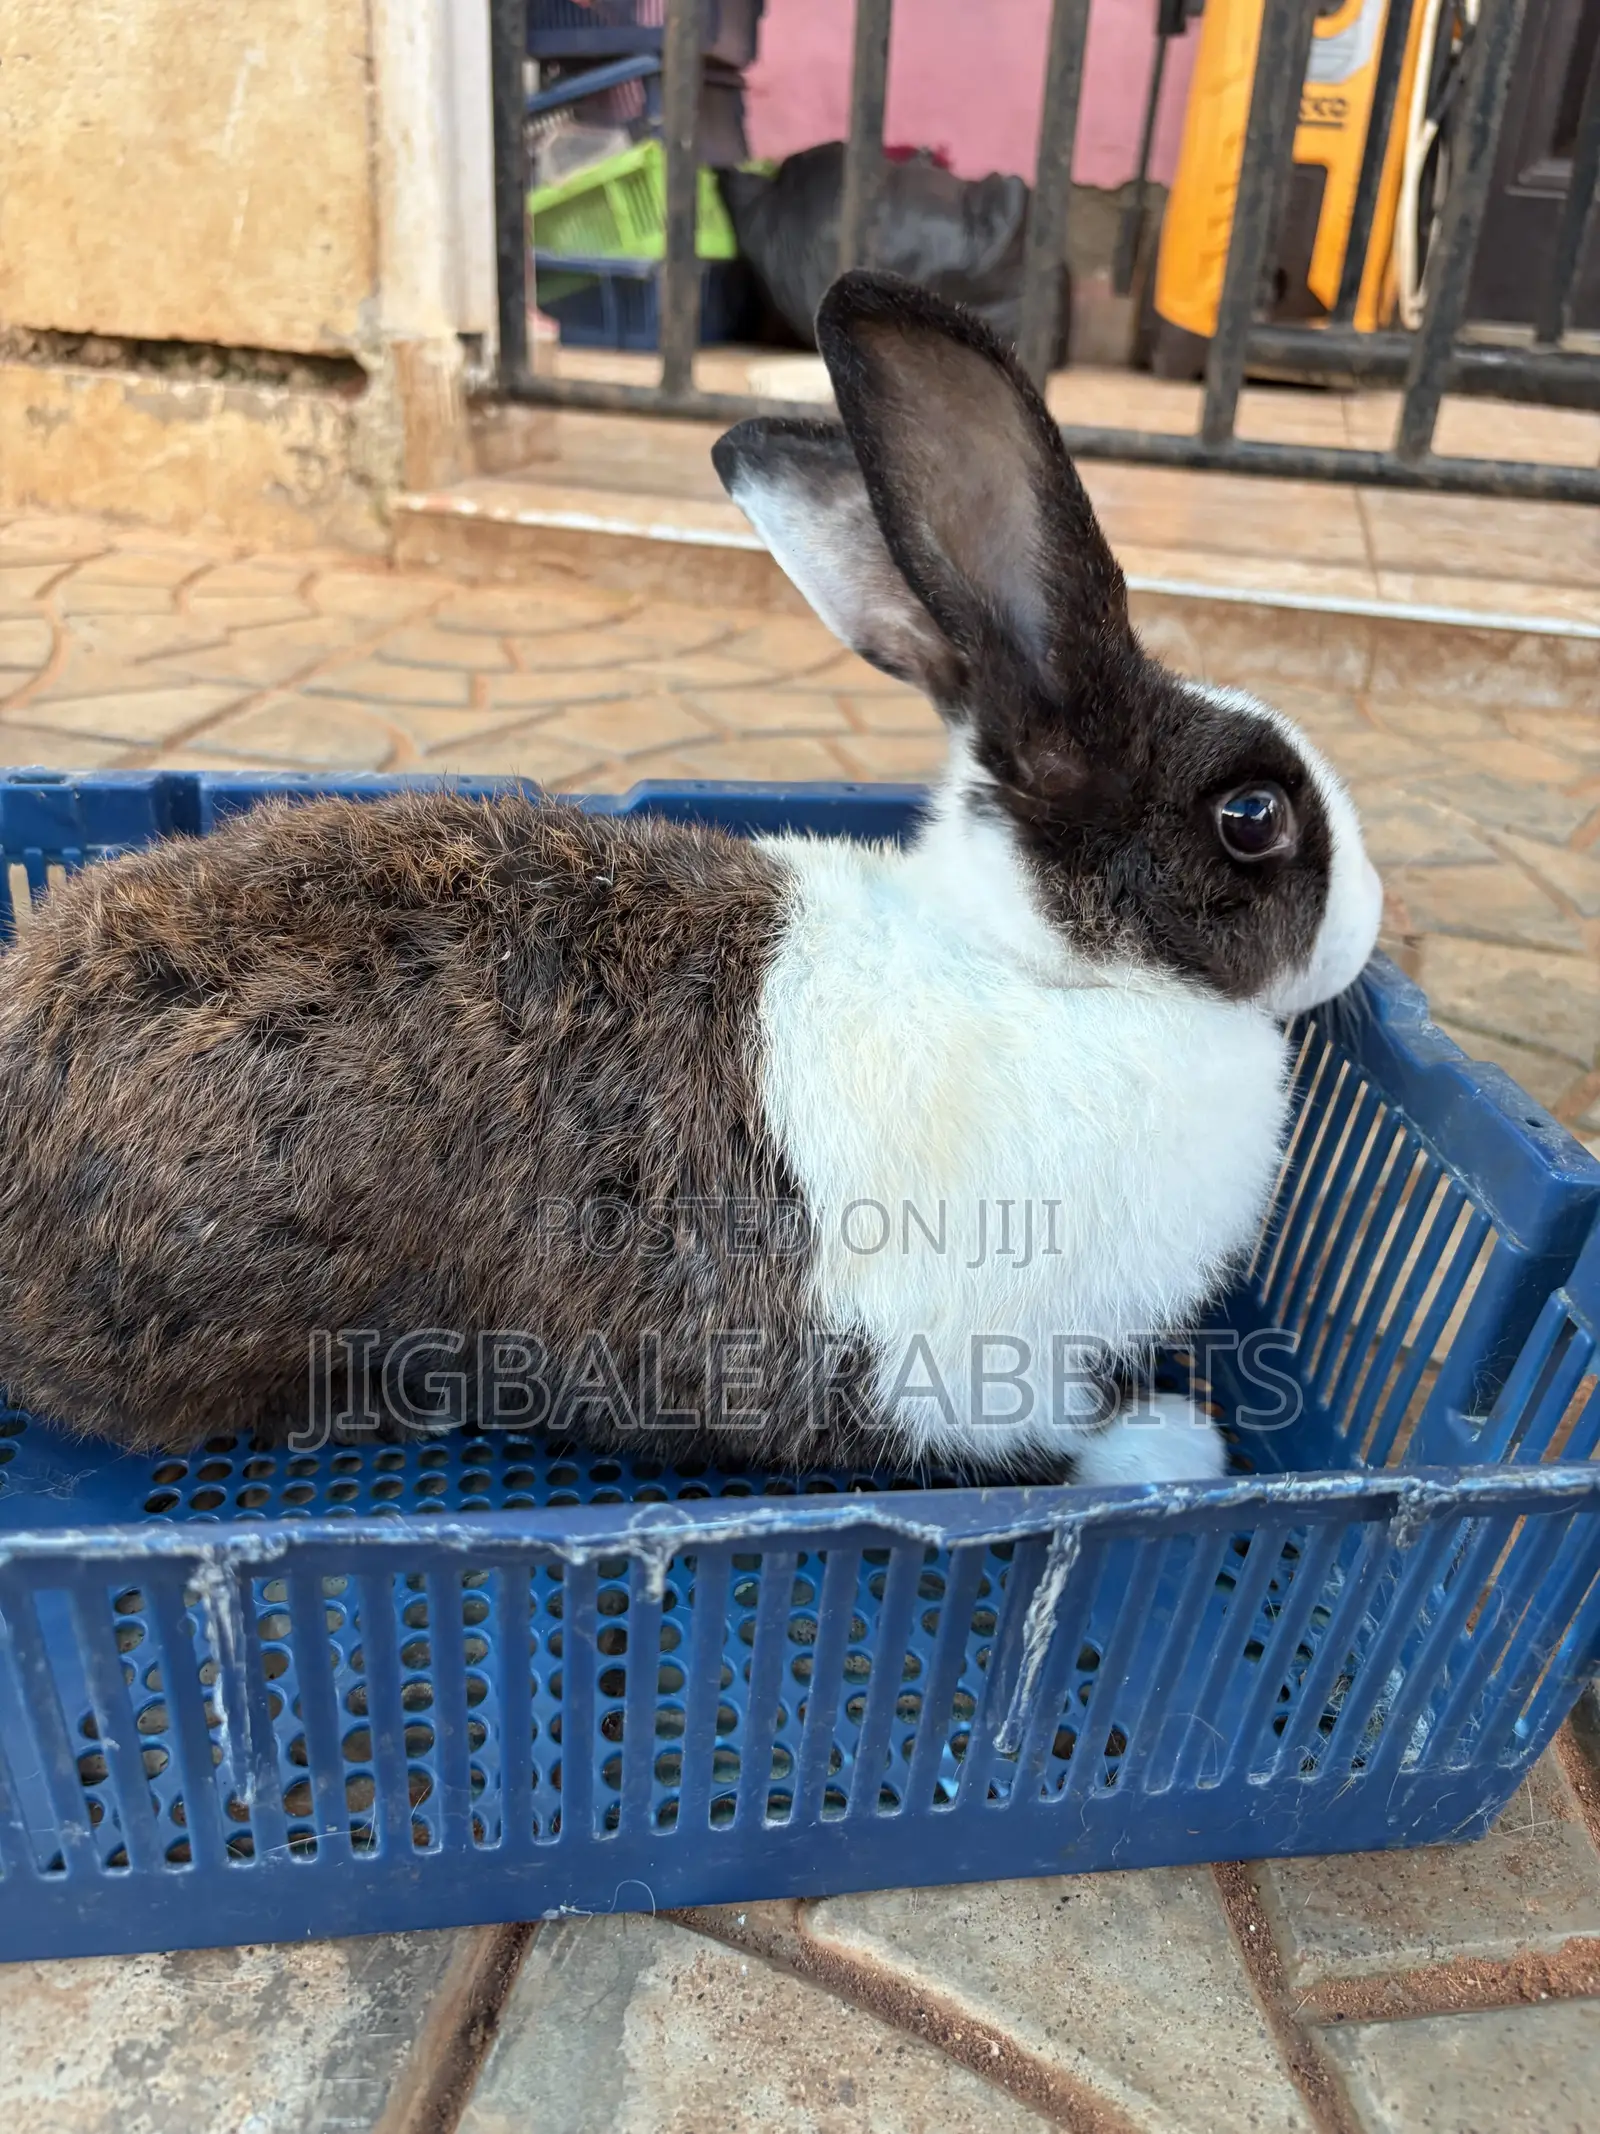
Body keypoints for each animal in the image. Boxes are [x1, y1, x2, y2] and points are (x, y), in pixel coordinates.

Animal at [0, 269, 1382, 1483]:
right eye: (1252, 816)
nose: (1370, 926)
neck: (1049, 967)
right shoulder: (935, 1371)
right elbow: (1039, 1441)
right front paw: (1175, 1443)